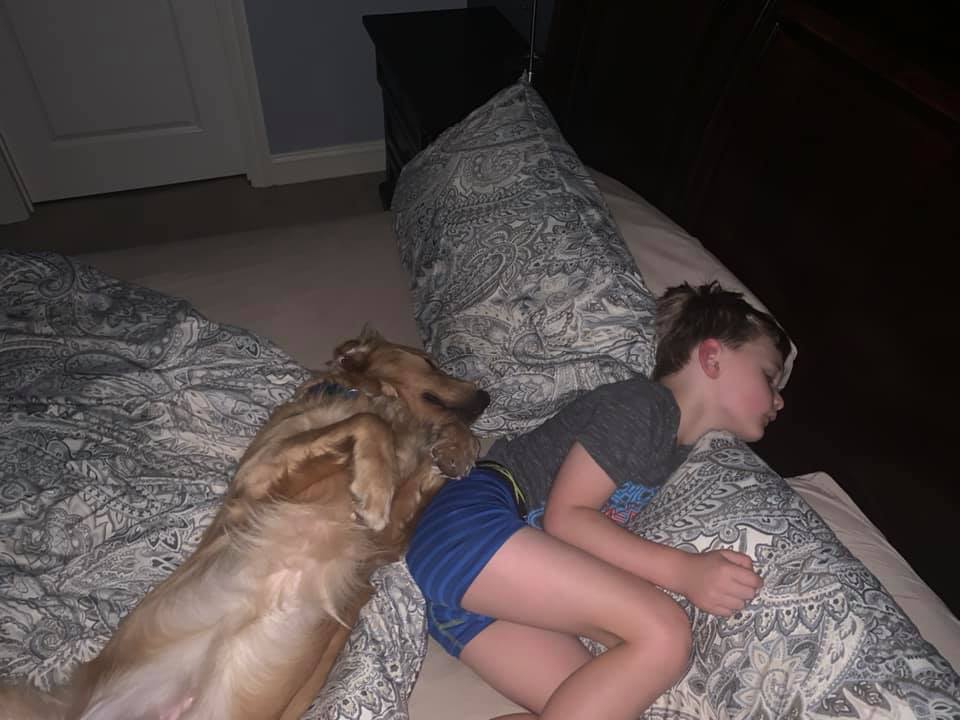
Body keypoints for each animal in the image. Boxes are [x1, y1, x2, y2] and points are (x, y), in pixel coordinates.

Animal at [0, 328, 489, 720]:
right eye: (429, 362)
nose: (486, 396)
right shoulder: (261, 481)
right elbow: (368, 424)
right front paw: (374, 485)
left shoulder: (379, 543)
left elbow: (430, 466)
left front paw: (456, 448)